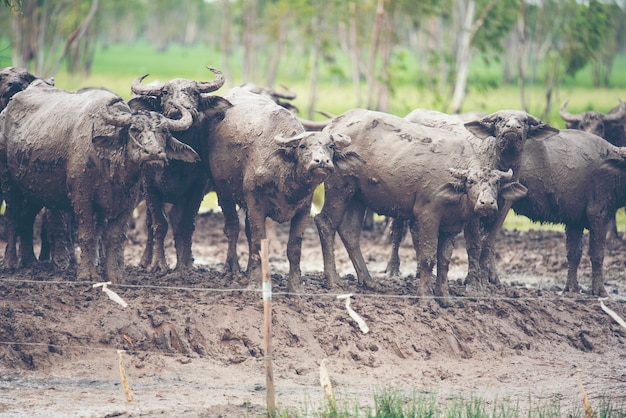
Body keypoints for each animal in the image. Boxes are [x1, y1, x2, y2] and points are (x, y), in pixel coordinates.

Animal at [0, 81, 199, 282]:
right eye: (134, 129)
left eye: (164, 131)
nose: (153, 153)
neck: (110, 164)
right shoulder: (82, 198)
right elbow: (87, 235)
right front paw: (87, 274)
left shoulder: (127, 204)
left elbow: (114, 236)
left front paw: (114, 275)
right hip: (9, 182)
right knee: (12, 218)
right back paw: (10, 262)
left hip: (34, 189)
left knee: (26, 219)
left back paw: (30, 262)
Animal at [129, 66, 232, 274]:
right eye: (165, 92)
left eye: (195, 93)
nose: (180, 109)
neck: (176, 165)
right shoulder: (150, 189)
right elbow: (159, 224)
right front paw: (159, 264)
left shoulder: (196, 190)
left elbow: (184, 224)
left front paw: (184, 266)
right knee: (149, 224)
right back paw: (145, 262)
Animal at [207, 87, 360, 292]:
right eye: (302, 146)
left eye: (331, 146)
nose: (321, 161)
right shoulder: (255, 204)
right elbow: (258, 242)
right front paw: (256, 283)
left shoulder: (303, 209)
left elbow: (293, 248)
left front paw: (295, 288)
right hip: (224, 193)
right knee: (232, 228)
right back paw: (231, 271)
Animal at [312, 109, 528, 306]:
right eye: (471, 182)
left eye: (496, 183)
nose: (487, 203)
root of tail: (333, 125)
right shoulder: (428, 215)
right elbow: (427, 257)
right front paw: (426, 297)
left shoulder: (452, 226)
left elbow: (444, 261)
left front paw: (445, 297)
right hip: (339, 188)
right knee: (325, 223)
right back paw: (333, 280)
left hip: (358, 194)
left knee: (349, 231)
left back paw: (369, 281)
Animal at [510, 129, 624, 296]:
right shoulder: (599, 215)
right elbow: (597, 254)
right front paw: (600, 291)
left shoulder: (574, 220)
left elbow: (574, 254)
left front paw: (572, 288)